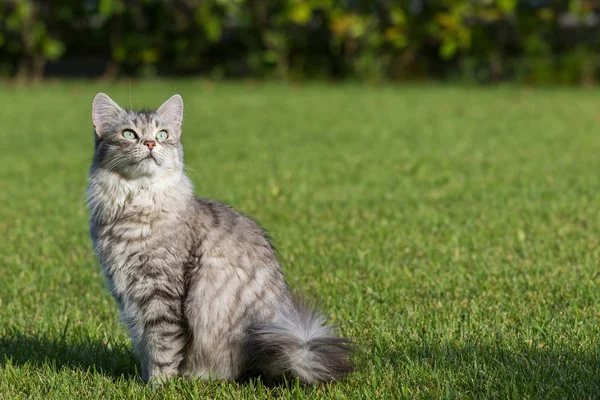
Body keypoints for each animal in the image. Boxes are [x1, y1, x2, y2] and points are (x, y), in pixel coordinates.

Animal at [86, 93, 354, 384]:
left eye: (162, 134)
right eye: (129, 134)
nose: (149, 143)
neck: (135, 204)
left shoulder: (159, 292)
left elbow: (162, 346)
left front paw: (158, 385)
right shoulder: (129, 297)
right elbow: (144, 345)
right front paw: (145, 380)